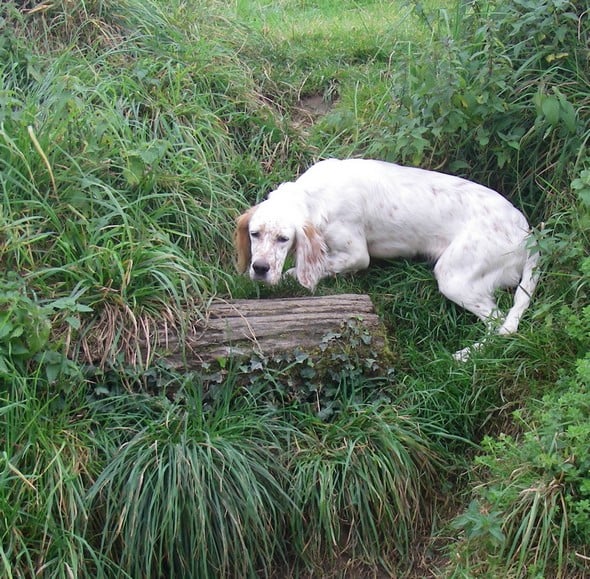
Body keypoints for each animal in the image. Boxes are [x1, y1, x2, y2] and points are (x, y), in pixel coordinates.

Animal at [237, 157, 540, 358]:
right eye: (254, 234)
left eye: (283, 239)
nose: (260, 268)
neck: (316, 195)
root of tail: (527, 233)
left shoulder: (358, 255)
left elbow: (310, 268)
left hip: (453, 276)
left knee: (500, 324)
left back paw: (464, 355)